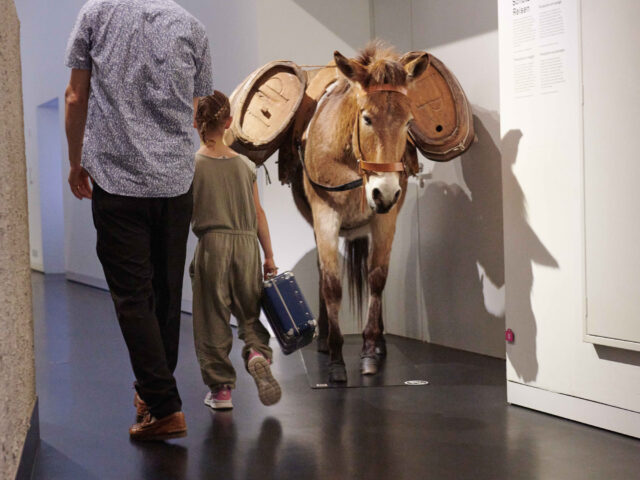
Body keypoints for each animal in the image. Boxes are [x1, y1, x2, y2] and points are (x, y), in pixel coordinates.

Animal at [288, 44, 428, 382]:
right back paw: (325, 340)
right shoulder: (325, 216)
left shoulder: (385, 218)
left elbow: (376, 278)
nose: (385, 192)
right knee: (323, 273)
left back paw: (379, 344)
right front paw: (336, 358)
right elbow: (331, 284)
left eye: (408, 122)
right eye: (366, 118)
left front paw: (369, 351)